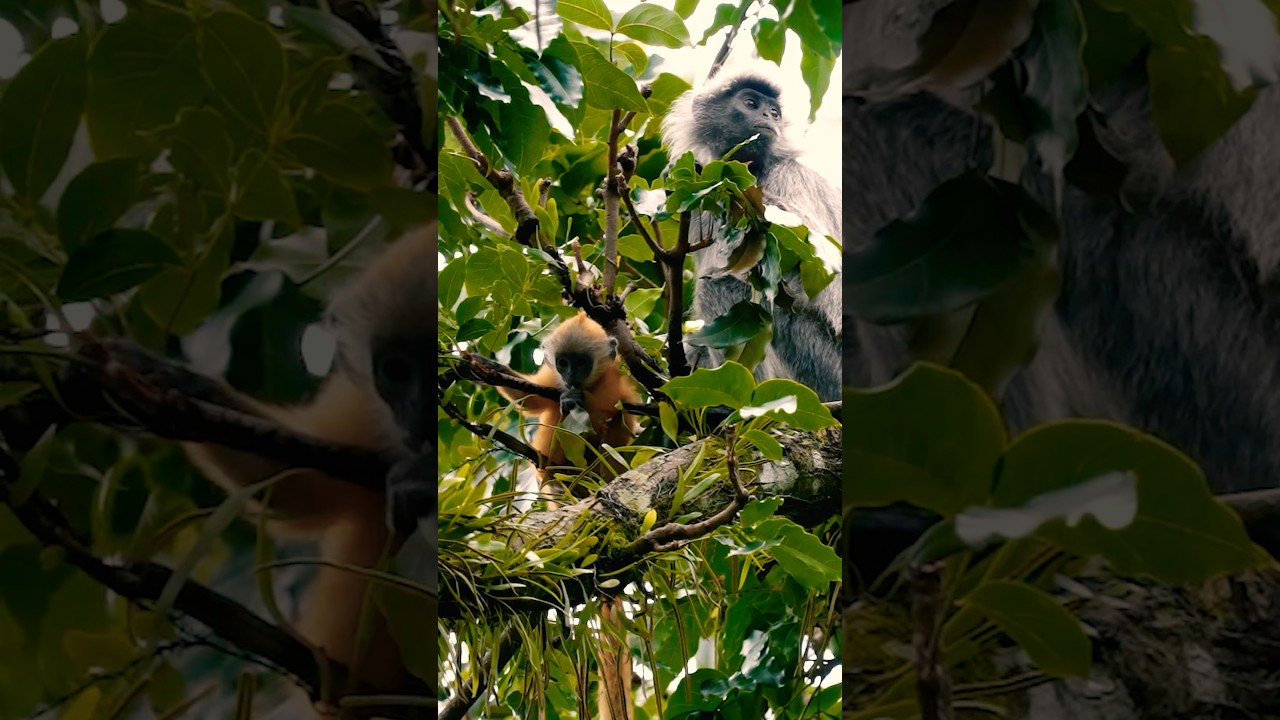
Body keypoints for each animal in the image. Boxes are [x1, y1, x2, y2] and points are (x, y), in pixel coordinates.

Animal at [661, 68, 843, 401]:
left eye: (774, 111)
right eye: (750, 103)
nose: (768, 116)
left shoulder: (788, 176)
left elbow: (823, 265)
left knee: (724, 286)